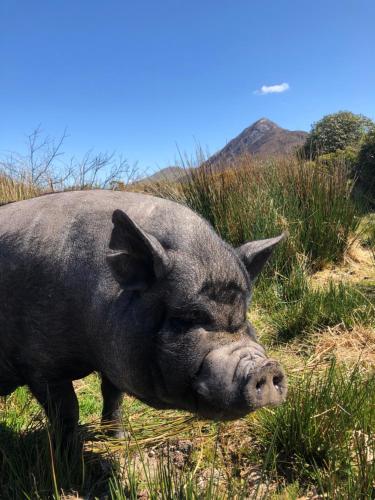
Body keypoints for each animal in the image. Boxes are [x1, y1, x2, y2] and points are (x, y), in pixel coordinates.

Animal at [0, 189, 288, 440]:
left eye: (244, 314)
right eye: (188, 317)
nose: (265, 367)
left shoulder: (112, 356)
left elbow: (113, 394)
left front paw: (119, 438)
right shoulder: (40, 367)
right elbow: (68, 413)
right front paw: (70, 458)